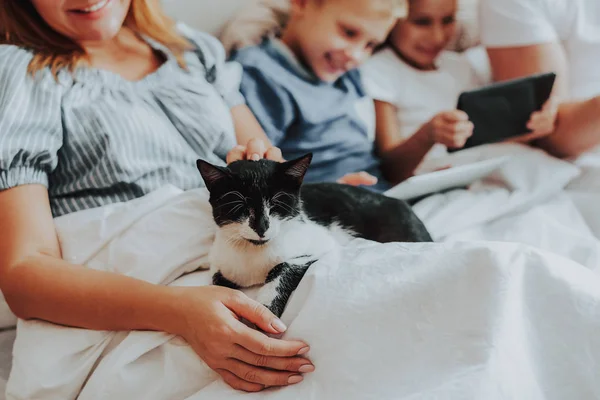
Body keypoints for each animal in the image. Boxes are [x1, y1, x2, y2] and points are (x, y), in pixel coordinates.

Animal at [197, 155, 432, 318]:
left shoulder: (321, 244)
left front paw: (266, 308)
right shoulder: (219, 261)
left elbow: (284, 266)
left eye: (277, 204)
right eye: (240, 207)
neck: (253, 250)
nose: (262, 227)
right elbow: (218, 283)